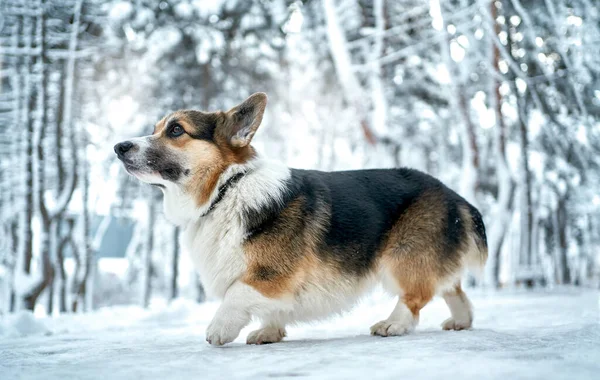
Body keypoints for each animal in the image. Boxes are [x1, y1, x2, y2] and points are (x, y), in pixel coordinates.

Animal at [115, 92, 490, 344]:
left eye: (176, 130)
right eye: (156, 128)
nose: (119, 147)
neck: (226, 189)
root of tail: (453, 194)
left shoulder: (272, 273)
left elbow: (237, 293)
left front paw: (220, 328)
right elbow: (269, 307)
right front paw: (269, 331)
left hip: (401, 258)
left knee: (415, 296)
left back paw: (392, 324)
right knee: (453, 289)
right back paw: (460, 321)